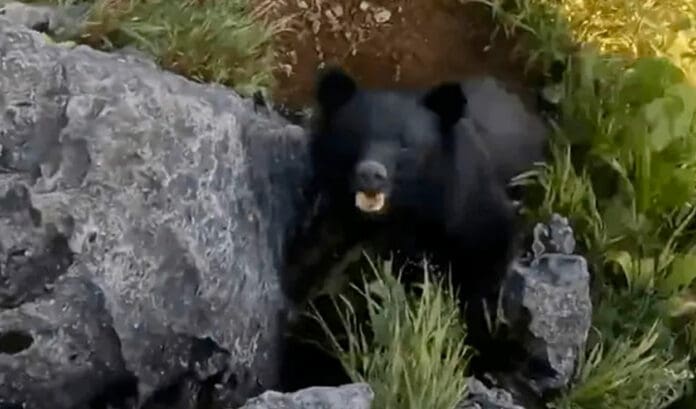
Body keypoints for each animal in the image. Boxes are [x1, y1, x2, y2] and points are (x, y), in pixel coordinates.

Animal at [279, 67, 542, 390]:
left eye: (405, 145)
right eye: (355, 137)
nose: (371, 174)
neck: (404, 214)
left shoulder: (471, 211)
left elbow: (485, 268)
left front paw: (485, 357)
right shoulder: (337, 222)